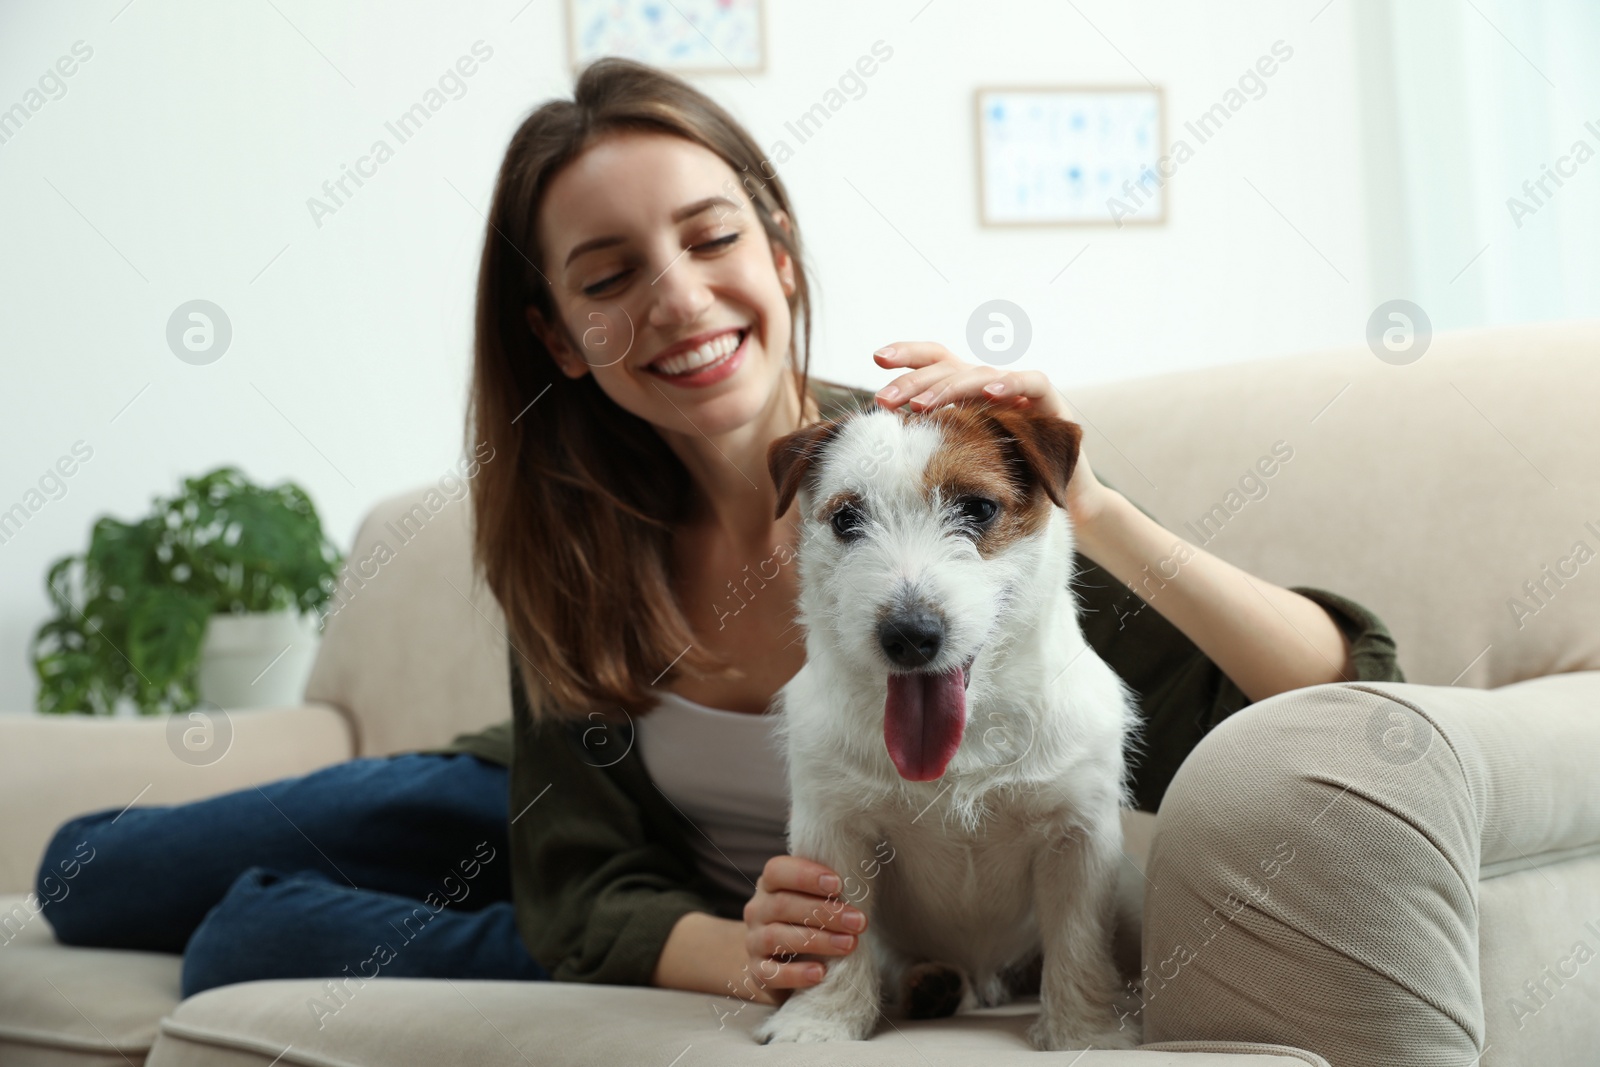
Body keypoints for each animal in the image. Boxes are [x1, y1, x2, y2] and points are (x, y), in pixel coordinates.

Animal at [748, 395, 1139, 1049]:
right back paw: (929, 985)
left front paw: (1085, 1031)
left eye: (977, 508)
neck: (967, 740)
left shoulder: (1078, 837)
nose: (909, 636)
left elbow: (1079, 940)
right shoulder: (835, 833)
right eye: (847, 519)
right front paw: (819, 1022)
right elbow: (834, 934)